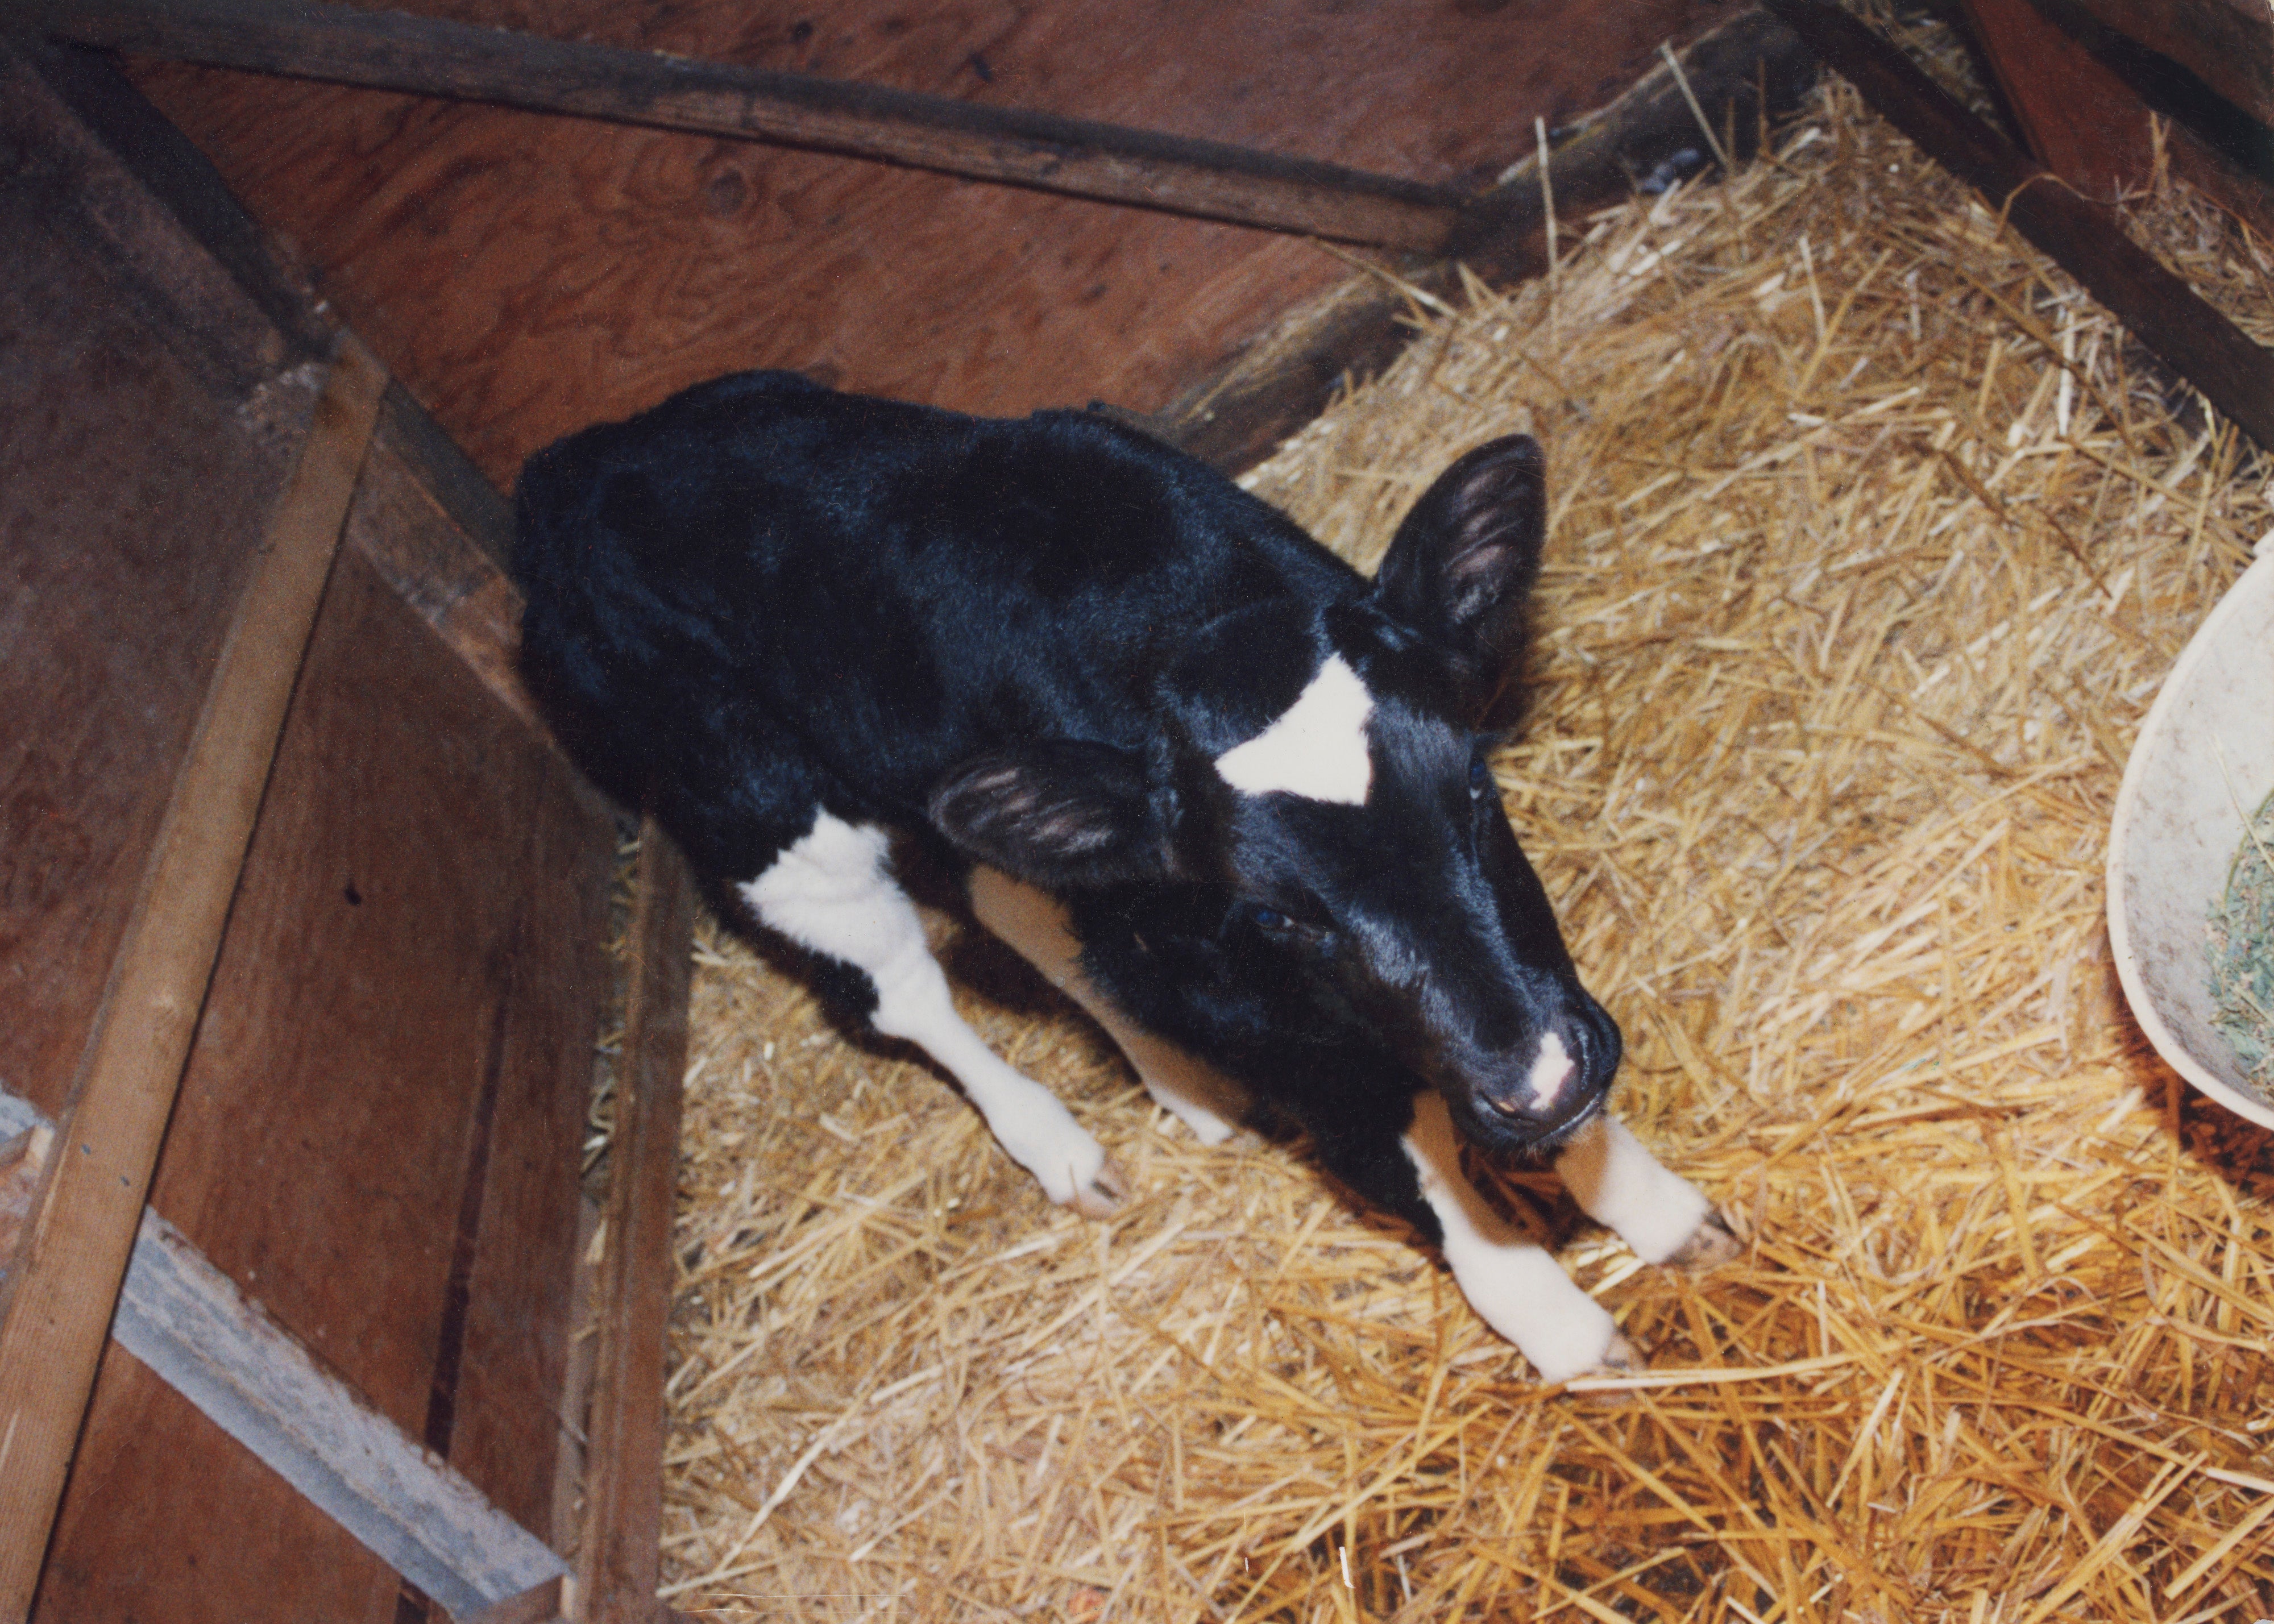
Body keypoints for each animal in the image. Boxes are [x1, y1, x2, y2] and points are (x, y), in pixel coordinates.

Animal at [513, 370, 1732, 1381]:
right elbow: (1409, 1151)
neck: (1174, 609)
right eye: (1280, 919)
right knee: (905, 986)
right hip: (754, 802)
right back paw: (1058, 1144)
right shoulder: (1281, 1013)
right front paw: (1563, 1327)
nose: (1539, 1080)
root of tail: (575, 460)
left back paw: (1179, 1084)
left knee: (1016, 904)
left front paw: (1657, 1210)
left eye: (1476, 789)